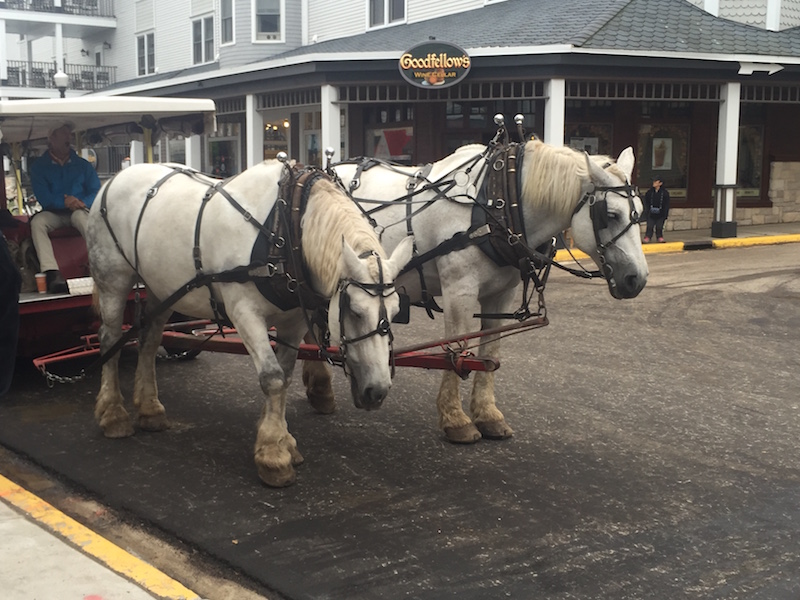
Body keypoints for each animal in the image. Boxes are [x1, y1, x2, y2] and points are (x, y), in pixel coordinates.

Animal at [86, 161, 412, 488]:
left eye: (397, 311)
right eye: (354, 311)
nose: (378, 391)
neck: (285, 225)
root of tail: (116, 177)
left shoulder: (293, 320)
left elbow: (286, 377)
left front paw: (282, 439)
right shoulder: (244, 311)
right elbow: (272, 378)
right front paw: (273, 455)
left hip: (160, 287)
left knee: (150, 340)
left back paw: (149, 409)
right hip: (114, 279)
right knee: (110, 339)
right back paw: (113, 414)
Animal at [304, 130, 648, 440]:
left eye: (641, 212)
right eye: (610, 214)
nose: (637, 279)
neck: (496, 203)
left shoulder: (501, 294)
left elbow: (489, 353)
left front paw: (487, 415)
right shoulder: (460, 291)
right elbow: (456, 348)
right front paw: (455, 418)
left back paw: (318, 388)